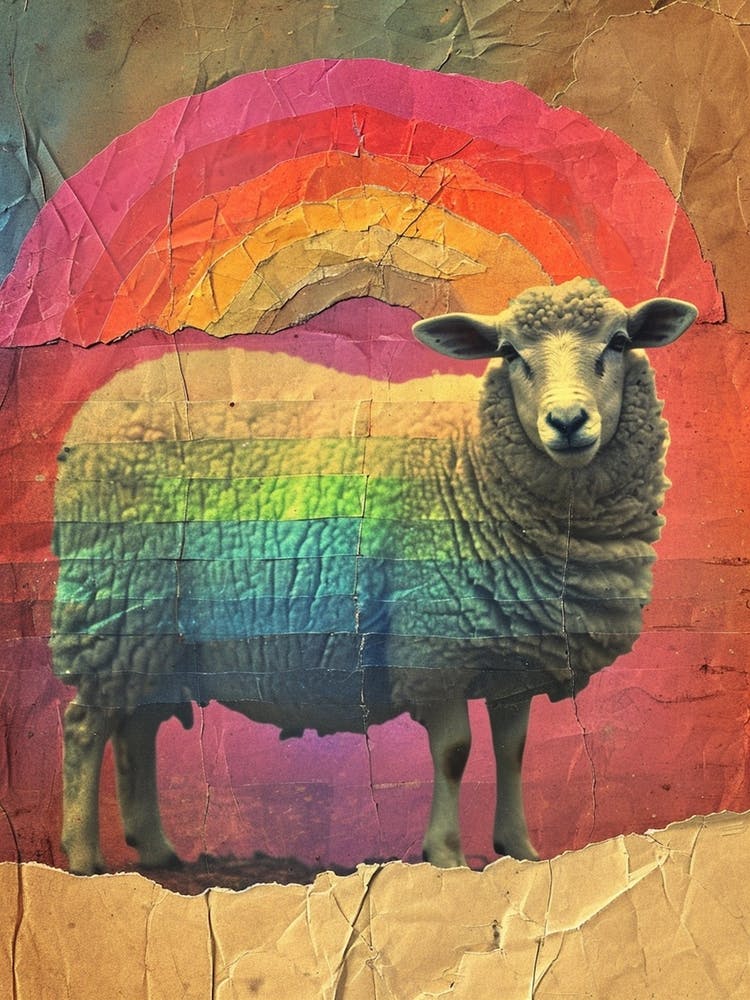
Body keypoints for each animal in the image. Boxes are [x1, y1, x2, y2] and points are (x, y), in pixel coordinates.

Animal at [51, 277, 697, 875]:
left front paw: (520, 850)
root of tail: (105, 400)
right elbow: (455, 752)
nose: (567, 422)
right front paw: (445, 854)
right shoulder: (433, 639)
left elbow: (512, 751)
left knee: (136, 725)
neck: (472, 457)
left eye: (619, 342)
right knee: (85, 725)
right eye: (509, 352)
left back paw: (156, 850)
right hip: (116, 597)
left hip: (150, 629)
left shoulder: (512, 652)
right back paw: (84, 857)